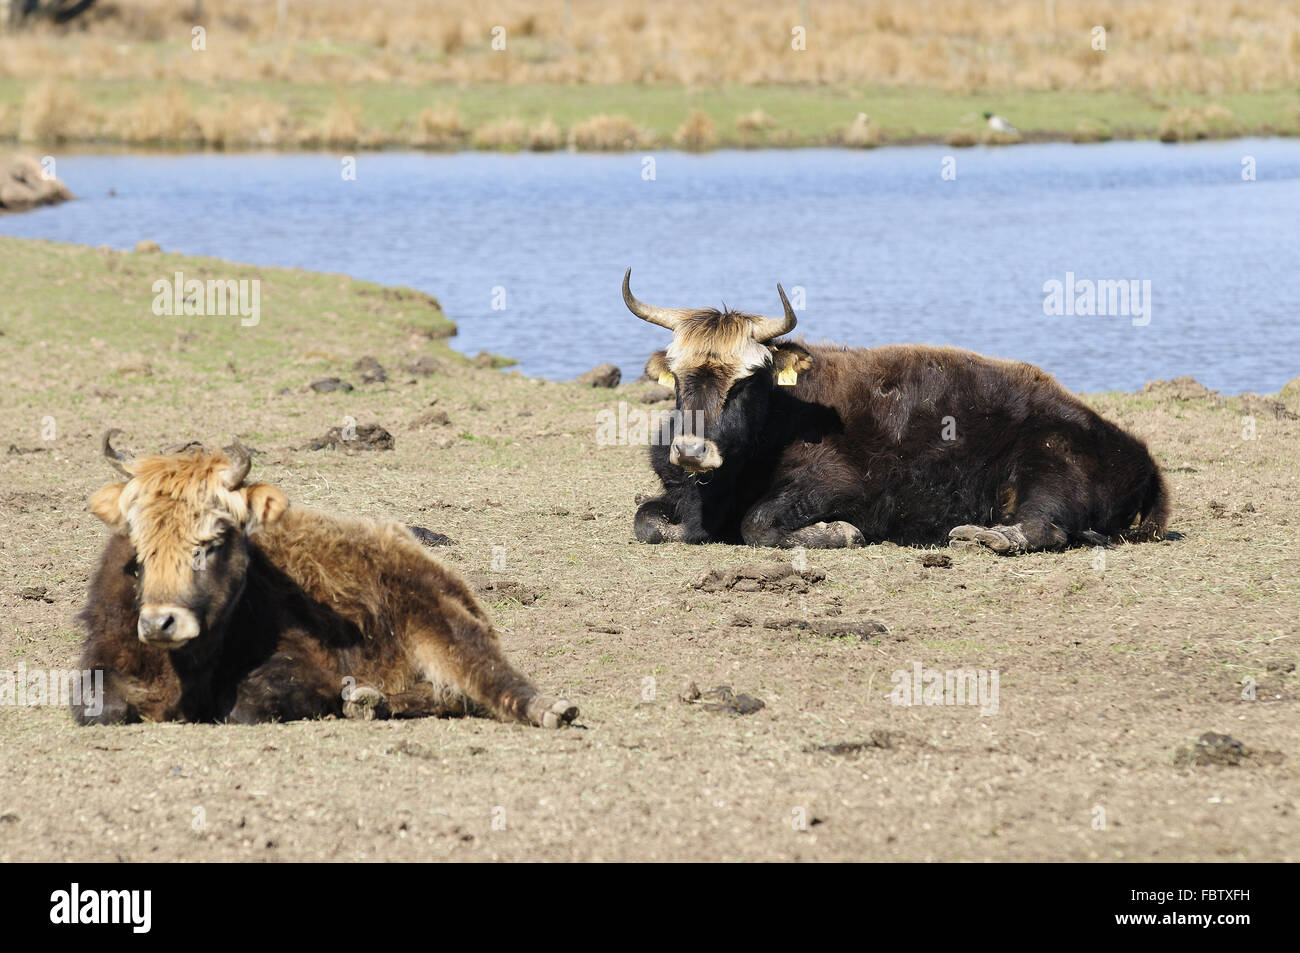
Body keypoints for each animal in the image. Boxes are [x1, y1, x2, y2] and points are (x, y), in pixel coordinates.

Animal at [73, 434, 577, 728]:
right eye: (137, 542)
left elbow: (247, 707)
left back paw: (553, 709)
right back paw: (367, 700)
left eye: (214, 539)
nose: (160, 623)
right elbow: (99, 707)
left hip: (447, 631)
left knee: (486, 684)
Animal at [618, 269, 1170, 551]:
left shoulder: (839, 483)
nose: (691, 452)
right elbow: (646, 520)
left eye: (746, 381)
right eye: (677, 377)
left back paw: (977, 536)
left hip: (1048, 465)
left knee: (1043, 528)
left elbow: (758, 523)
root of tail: (1140, 455)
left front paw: (838, 532)